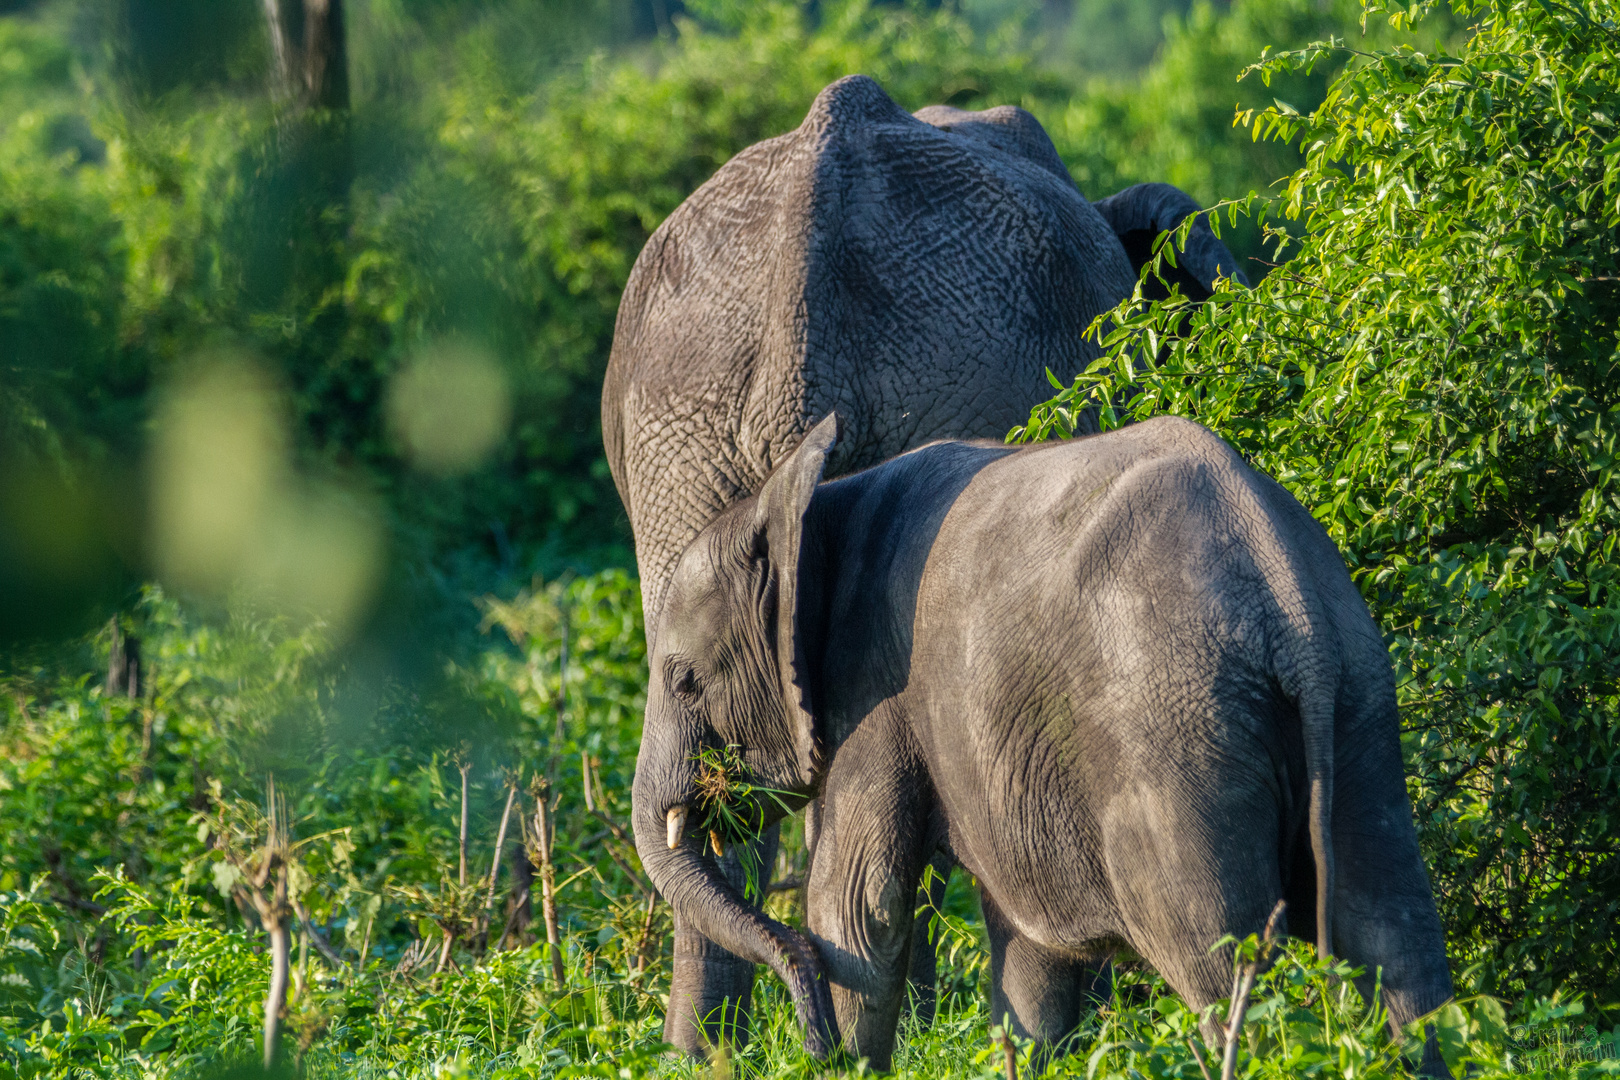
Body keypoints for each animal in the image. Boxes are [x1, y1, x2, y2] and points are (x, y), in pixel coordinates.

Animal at [631, 411, 1458, 1075]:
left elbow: (858, 909)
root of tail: (1291, 607)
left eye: (683, 681)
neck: (812, 506)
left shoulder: (874, 691)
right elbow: (1025, 944)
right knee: (1396, 936)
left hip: (1179, 748)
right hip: (1359, 705)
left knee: (1221, 965)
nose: (811, 1043)